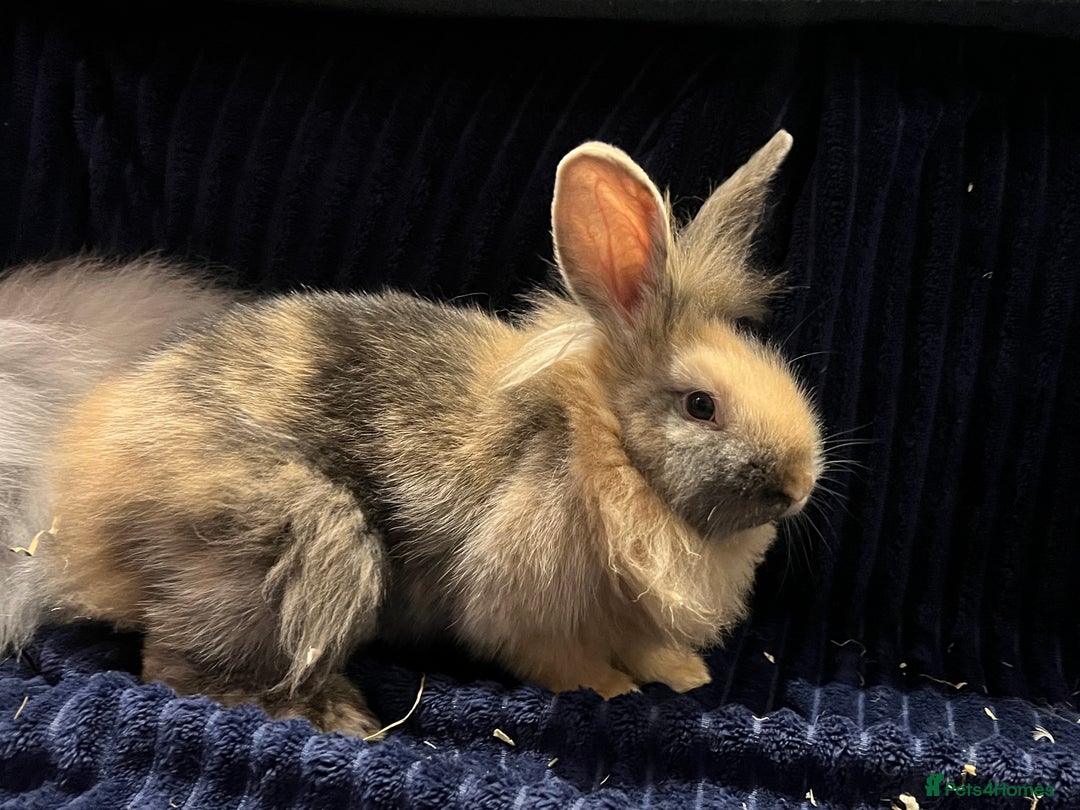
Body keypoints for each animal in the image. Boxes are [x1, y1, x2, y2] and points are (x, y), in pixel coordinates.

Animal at [0, 130, 821, 737]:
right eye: (700, 405)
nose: (798, 485)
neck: (601, 445)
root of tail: (79, 507)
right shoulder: (525, 607)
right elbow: (559, 660)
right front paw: (613, 692)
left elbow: (647, 643)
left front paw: (685, 672)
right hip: (298, 542)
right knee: (175, 668)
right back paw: (340, 718)